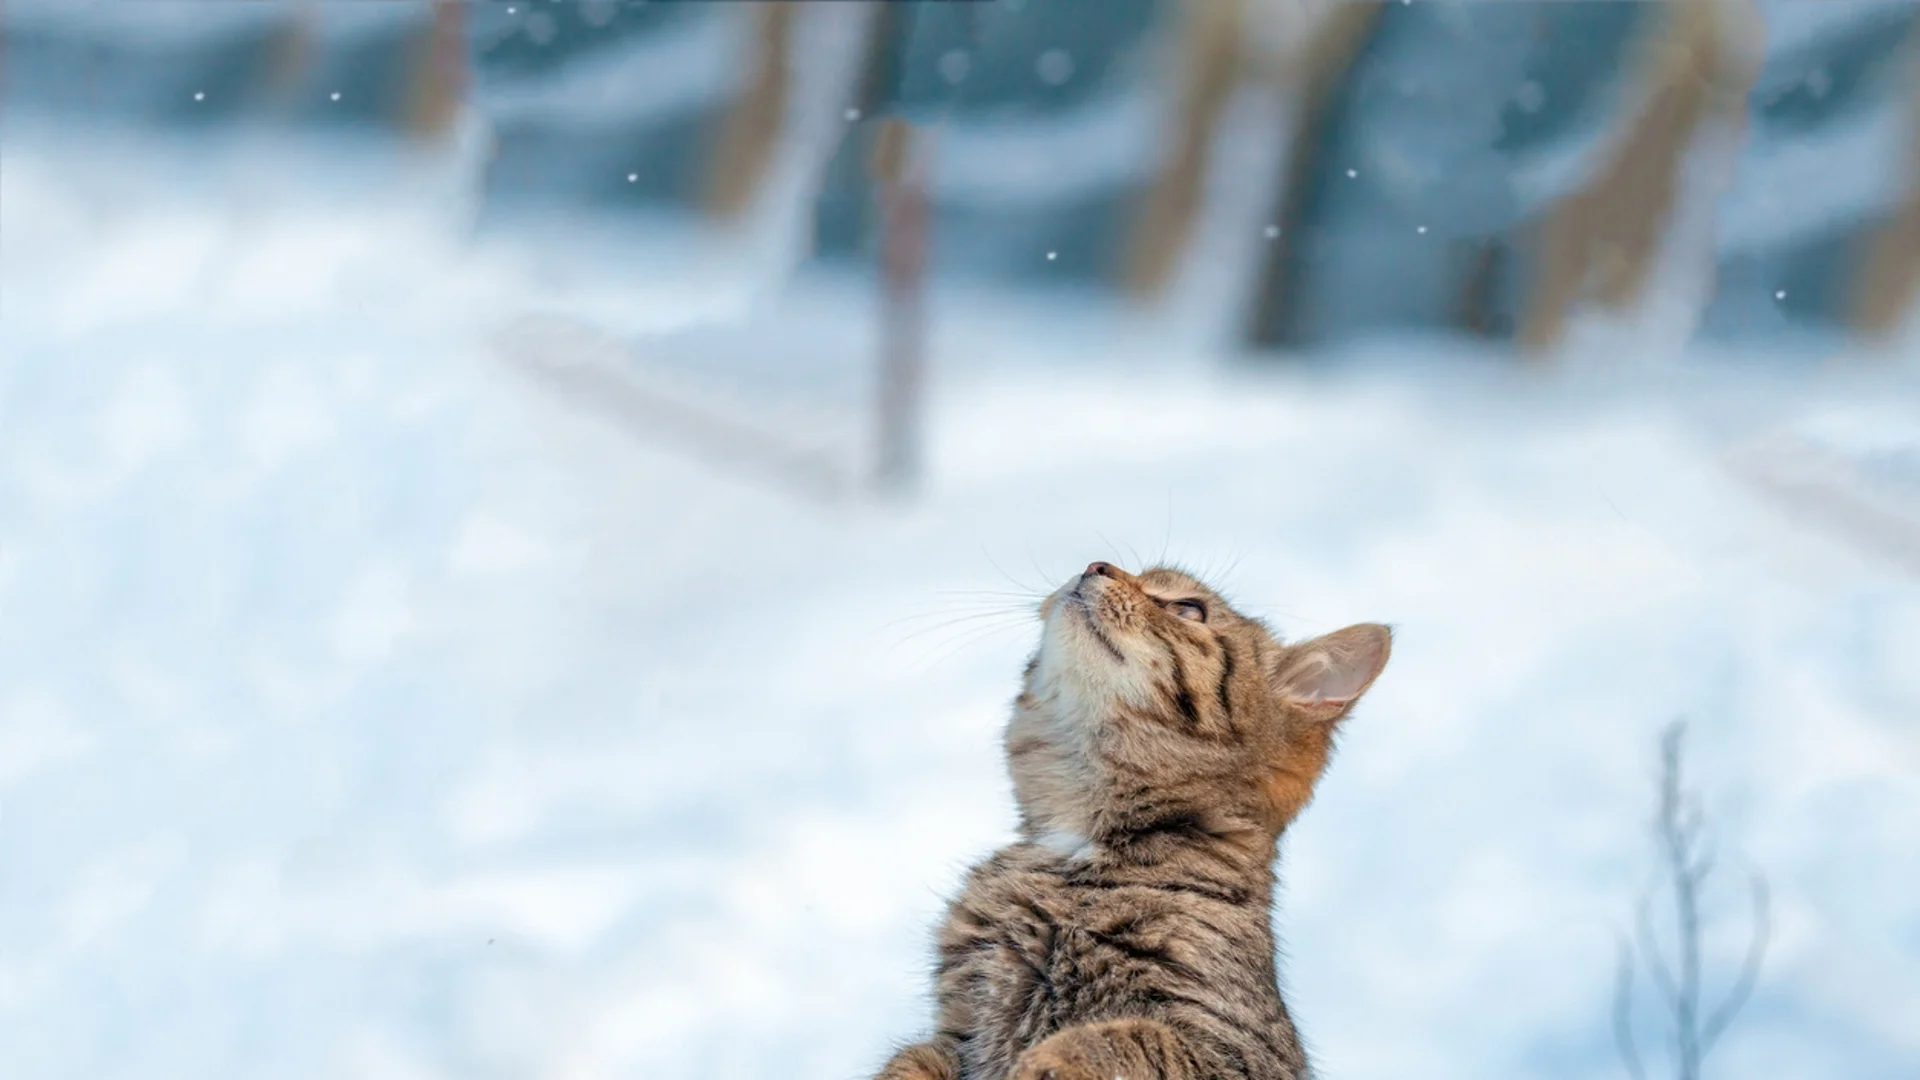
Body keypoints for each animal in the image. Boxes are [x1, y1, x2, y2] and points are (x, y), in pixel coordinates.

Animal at [879, 557, 1390, 1076]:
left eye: (1189, 608)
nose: (1095, 564)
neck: (1078, 842)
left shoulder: (1240, 1054)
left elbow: (1127, 1037)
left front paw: (1048, 1056)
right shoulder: (957, 1033)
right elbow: (912, 1057)